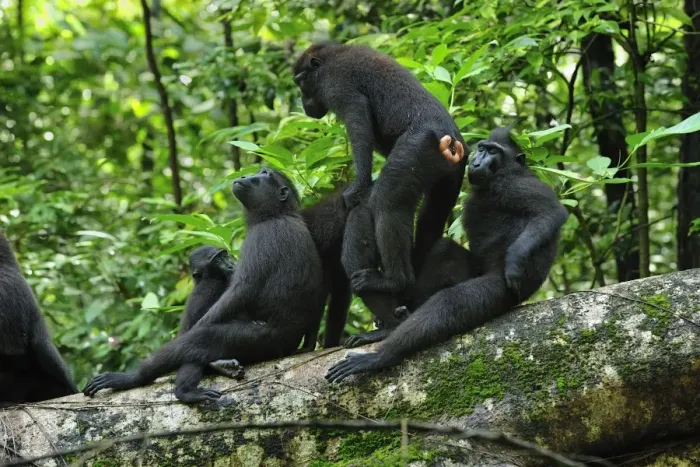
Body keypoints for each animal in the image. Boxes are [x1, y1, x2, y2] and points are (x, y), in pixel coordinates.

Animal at [84, 168, 325, 403]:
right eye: (259, 170)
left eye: (265, 174)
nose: (245, 175)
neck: (278, 214)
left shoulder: (261, 238)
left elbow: (241, 290)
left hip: (260, 340)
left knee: (197, 340)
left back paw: (148, 382)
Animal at [292, 42, 468, 314]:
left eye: (301, 84)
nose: (303, 103)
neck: (332, 56)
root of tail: (452, 144)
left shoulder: (335, 83)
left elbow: (358, 118)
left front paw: (356, 188)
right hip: (450, 176)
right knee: (430, 217)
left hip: (418, 149)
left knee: (388, 203)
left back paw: (395, 280)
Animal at [326, 126, 569, 382]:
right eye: (482, 148)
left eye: (493, 152)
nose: (477, 160)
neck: (498, 176)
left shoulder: (514, 184)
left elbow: (551, 211)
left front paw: (514, 261)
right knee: (444, 250)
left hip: (500, 291)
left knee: (450, 303)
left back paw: (380, 355)